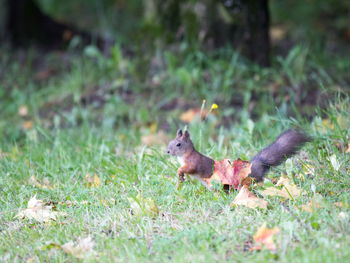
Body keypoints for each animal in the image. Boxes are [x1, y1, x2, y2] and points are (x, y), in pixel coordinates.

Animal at [167, 129, 308, 187]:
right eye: (170, 141)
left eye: (178, 144)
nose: (167, 151)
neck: (184, 155)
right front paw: (180, 177)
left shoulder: (193, 162)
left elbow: (189, 168)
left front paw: (179, 172)